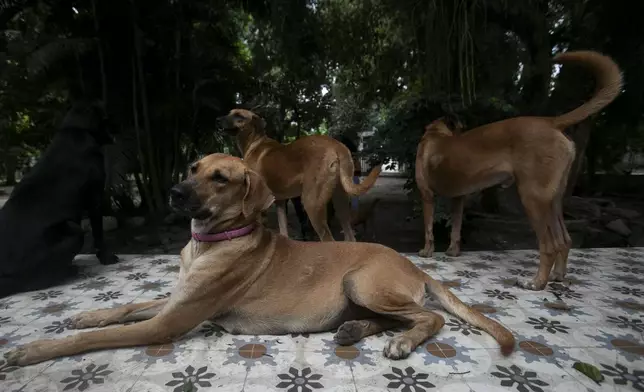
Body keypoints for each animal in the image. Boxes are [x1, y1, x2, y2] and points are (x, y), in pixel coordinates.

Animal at [0, 101, 119, 298]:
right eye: (106, 116)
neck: (75, 129)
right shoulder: (94, 198)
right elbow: (99, 233)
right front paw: (107, 257)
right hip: (74, 230)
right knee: (33, 282)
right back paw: (69, 271)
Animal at [3, 154, 512, 368]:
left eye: (221, 178)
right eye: (193, 168)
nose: (174, 192)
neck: (210, 241)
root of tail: (415, 266)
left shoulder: (169, 321)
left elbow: (98, 338)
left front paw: (33, 351)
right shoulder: (175, 300)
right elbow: (124, 307)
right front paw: (86, 314)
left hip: (362, 282)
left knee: (429, 318)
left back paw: (403, 342)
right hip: (361, 293)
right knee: (398, 317)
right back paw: (355, 330)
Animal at [216, 108, 382, 242]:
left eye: (239, 115)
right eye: (230, 112)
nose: (218, 119)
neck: (254, 142)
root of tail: (336, 144)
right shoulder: (280, 201)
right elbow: (283, 229)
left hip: (311, 203)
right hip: (340, 203)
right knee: (349, 237)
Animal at [416, 49, 620, 290]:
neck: (436, 135)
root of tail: (551, 122)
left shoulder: (427, 195)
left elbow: (428, 228)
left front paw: (427, 251)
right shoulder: (459, 199)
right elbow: (456, 228)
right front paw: (452, 252)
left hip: (532, 198)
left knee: (549, 245)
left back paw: (537, 282)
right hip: (552, 200)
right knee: (565, 240)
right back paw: (557, 276)